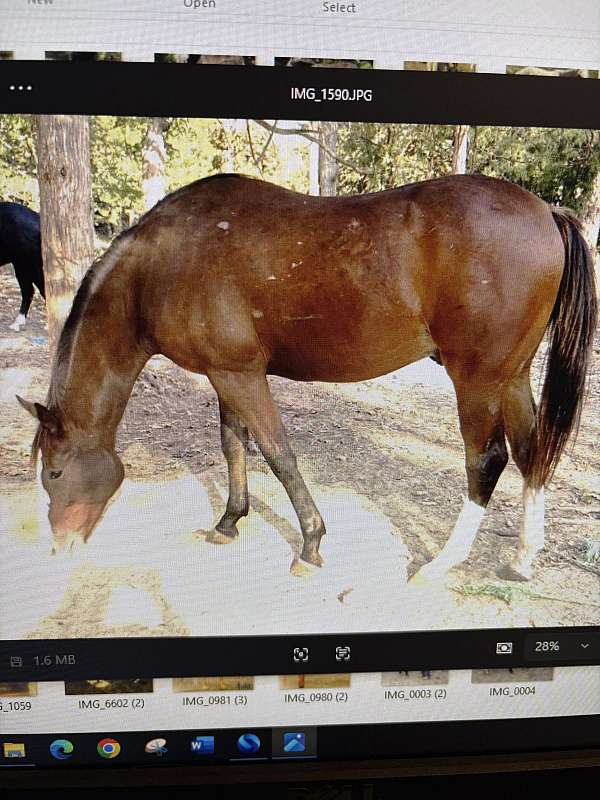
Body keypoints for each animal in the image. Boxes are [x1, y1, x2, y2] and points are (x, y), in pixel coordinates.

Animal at [17, 173, 597, 582]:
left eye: (54, 473)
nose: (59, 547)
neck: (161, 264)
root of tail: (545, 211)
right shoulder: (227, 373)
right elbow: (234, 444)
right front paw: (230, 521)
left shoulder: (240, 376)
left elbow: (279, 454)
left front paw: (311, 543)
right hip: (512, 375)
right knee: (532, 452)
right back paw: (522, 559)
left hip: (477, 379)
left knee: (488, 460)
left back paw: (441, 563)